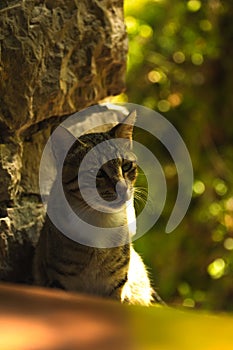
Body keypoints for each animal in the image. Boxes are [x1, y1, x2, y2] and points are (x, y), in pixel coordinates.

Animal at [33, 110, 161, 304]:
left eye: (126, 166)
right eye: (97, 172)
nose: (122, 188)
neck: (100, 220)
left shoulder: (117, 284)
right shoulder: (59, 281)